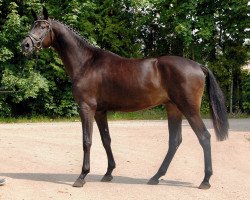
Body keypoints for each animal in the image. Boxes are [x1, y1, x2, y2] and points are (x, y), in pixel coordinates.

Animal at [21, 7, 229, 189]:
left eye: (44, 26)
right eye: (33, 25)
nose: (26, 45)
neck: (87, 62)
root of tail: (199, 66)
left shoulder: (86, 108)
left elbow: (87, 141)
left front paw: (82, 176)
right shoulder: (100, 111)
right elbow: (106, 139)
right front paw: (108, 173)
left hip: (189, 109)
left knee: (204, 137)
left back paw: (205, 180)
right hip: (173, 108)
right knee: (174, 141)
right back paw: (156, 177)